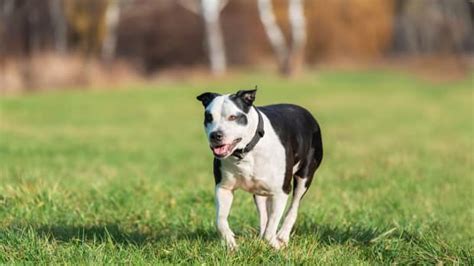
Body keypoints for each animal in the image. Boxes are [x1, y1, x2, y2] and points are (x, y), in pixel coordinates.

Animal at [195, 89, 322, 249]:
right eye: (209, 117)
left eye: (233, 117)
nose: (215, 135)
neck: (246, 151)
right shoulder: (224, 188)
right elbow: (220, 221)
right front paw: (230, 243)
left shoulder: (281, 192)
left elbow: (272, 228)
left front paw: (275, 244)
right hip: (259, 191)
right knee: (263, 214)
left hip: (304, 177)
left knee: (294, 206)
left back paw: (283, 236)